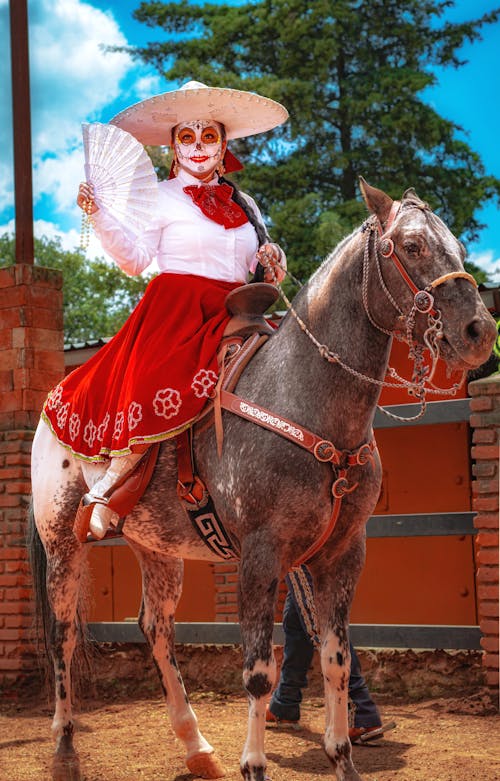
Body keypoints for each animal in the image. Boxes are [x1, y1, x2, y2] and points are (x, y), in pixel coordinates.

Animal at [27, 178, 496, 780]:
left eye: (457, 246)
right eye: (412, 246)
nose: (479, 332)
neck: (306, 400)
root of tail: (53, 403)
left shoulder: (343, 554)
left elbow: (335, 658)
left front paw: (342, 755)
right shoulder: (260, 554)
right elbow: (257, 671)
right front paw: (254, 763)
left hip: (158, 548)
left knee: (155, 629)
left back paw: (197, 746)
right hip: (62, 543)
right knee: (62, 636)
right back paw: (65, 748)